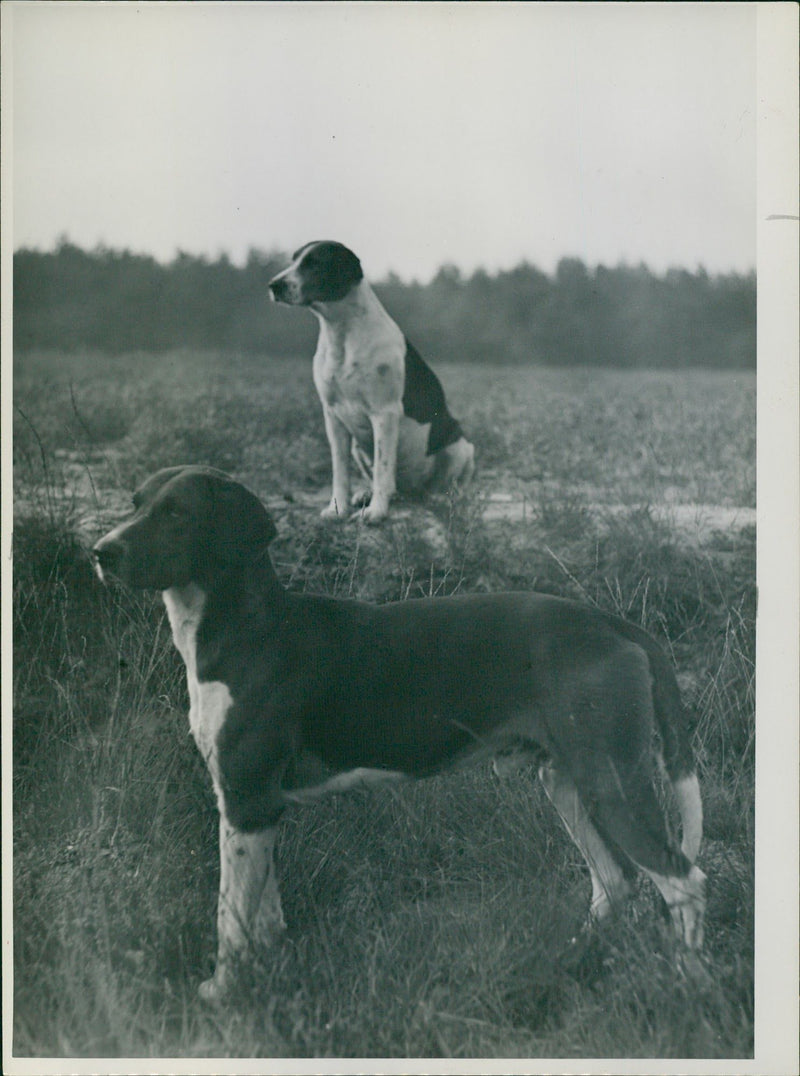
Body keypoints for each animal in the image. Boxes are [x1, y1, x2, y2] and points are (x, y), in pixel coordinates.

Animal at [95, 466, 706, 1002]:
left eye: (178, 512)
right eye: (135, 503)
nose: (101, 552)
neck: (246, 628)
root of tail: (613, 624)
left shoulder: (247, 803)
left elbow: (230, 917)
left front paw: (223, 993)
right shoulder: (255, 808)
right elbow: (261, 911)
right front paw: (269, 969)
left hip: (611, 784)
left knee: (684, 881)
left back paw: (686, 984)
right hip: (566, 781)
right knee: (616, 882)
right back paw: (572, 956)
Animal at [269, 245, 475, 529]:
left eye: (314, 263)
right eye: (294, 261)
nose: (273, 285)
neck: (341, 333)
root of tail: (413, 492)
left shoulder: (384, 414)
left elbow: (382, 468)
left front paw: (376, 512)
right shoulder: (333, 417)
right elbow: (340, 472)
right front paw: (337, 509)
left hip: (459, 446)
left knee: (451, 485)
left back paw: (439, 497)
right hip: (359, 447)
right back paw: (368, 494)